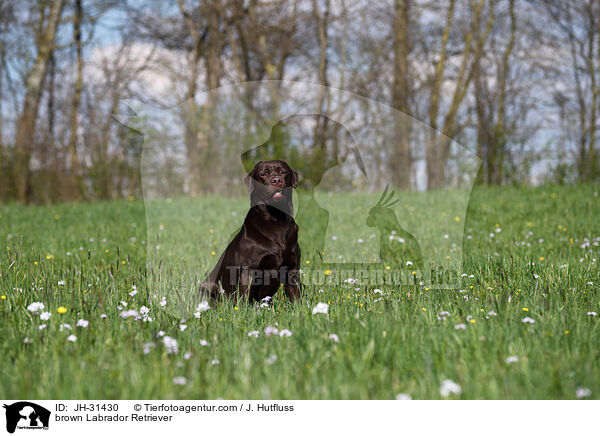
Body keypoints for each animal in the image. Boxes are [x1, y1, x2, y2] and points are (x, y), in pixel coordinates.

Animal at [204, 160, 302, 304]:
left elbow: (296, 297)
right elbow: (245, 297)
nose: (276, 180)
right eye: (263, 174)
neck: (275, 220)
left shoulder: (292, 269)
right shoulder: (249, 271)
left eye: (283, 172)